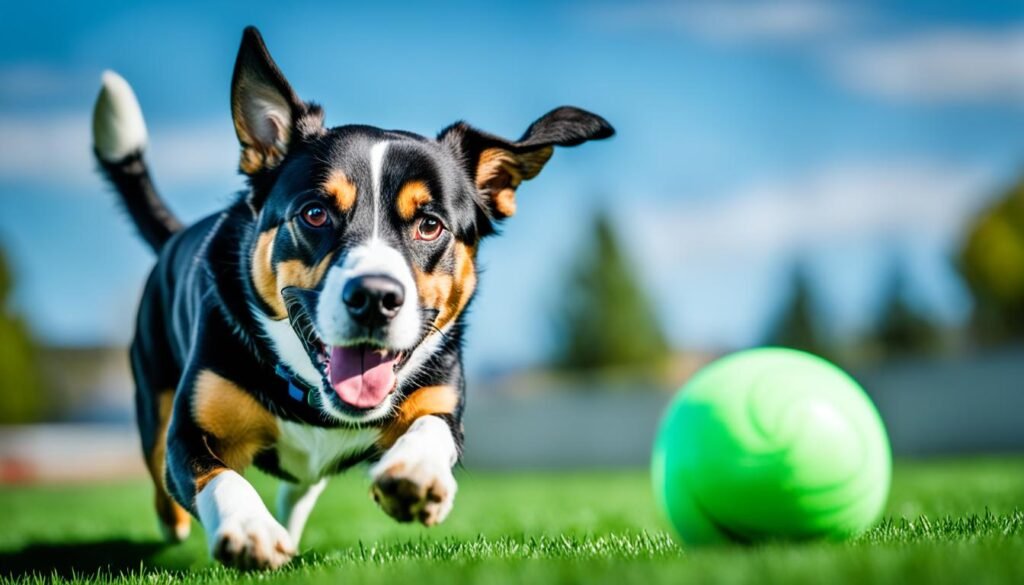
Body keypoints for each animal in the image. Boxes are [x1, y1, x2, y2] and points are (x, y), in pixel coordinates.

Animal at [90, 27, 606, 573]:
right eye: (315, 213)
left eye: (430, 224)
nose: (374, 297)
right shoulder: (192, 429)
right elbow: (217, 474)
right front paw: (248, 528)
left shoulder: (442, 402)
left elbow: (432, 430)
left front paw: (415, 474)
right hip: (152, 393)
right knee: (161, 472)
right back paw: (180, 523)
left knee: (301, 485)